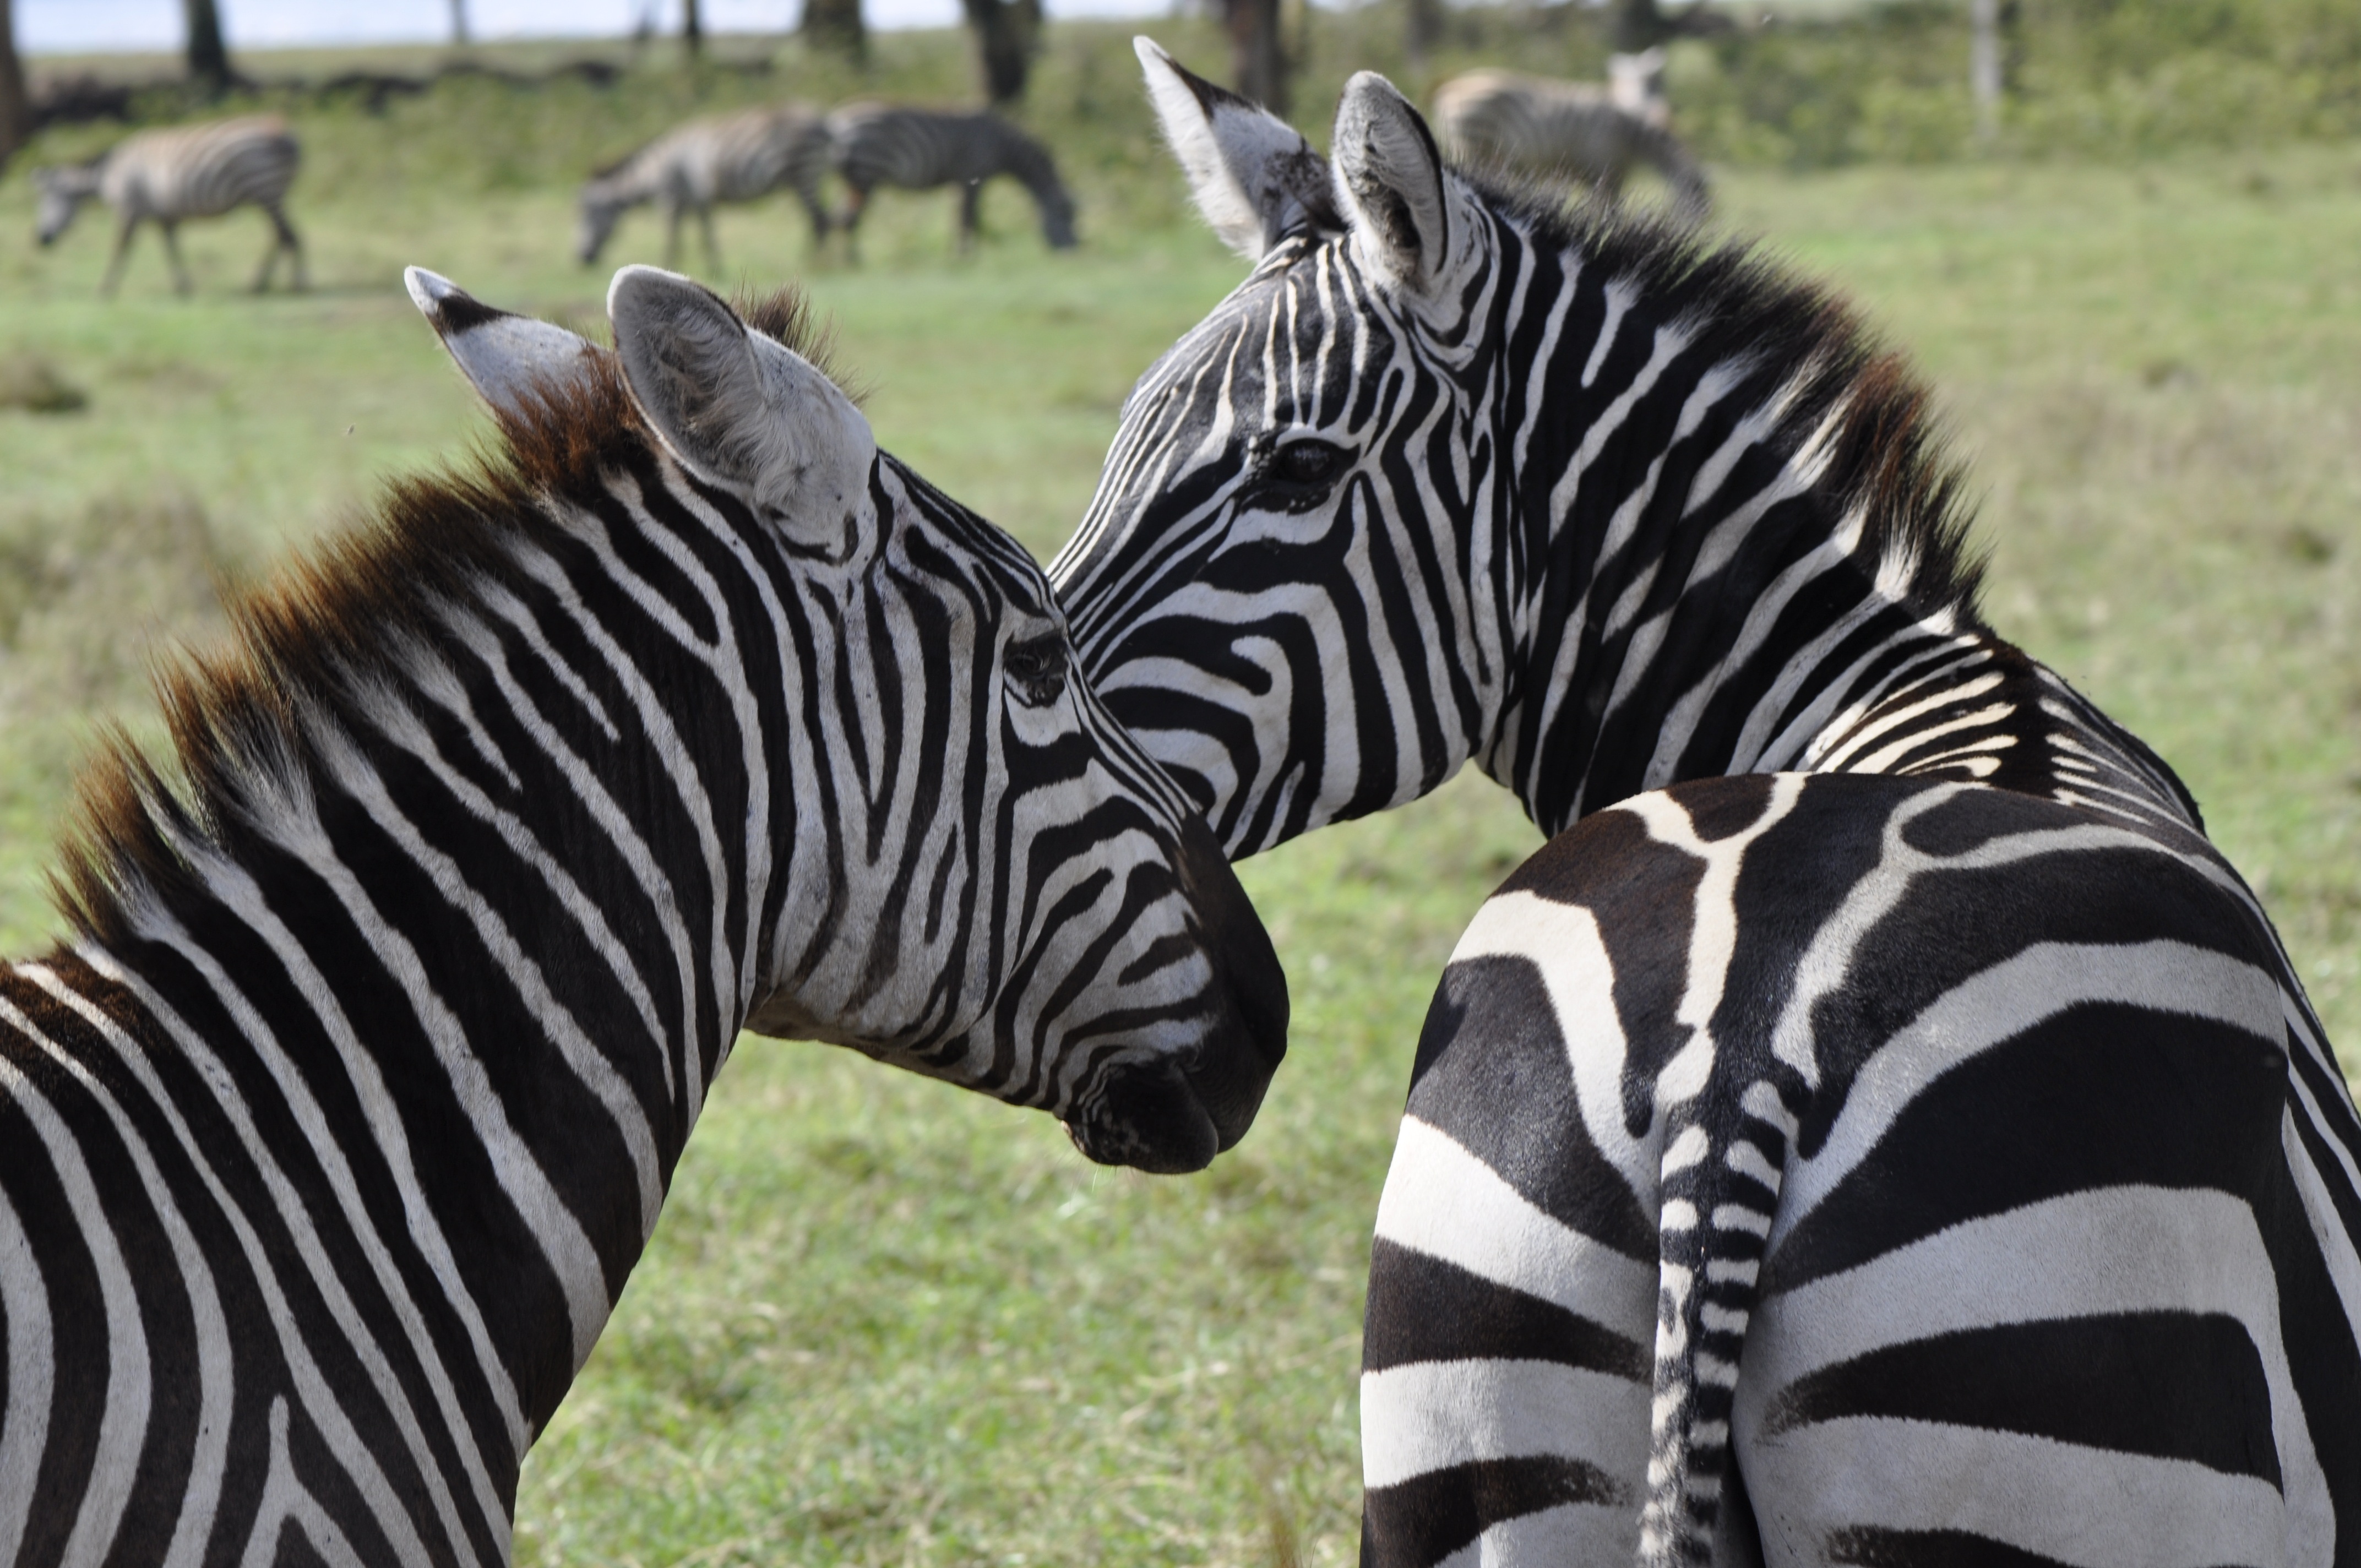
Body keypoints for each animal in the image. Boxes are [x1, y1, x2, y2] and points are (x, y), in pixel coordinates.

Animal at [34, 113, 304, 297]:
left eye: (49, 199)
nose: (40, 240)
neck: (109, 174)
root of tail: (285, 132)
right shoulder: (163, 215)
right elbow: (171, 249)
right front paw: (183, 287)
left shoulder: (129, 209)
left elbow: (120, 249)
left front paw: (104, 289)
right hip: (268, 194)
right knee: (282, 236)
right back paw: (262, 285)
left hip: (265, 189)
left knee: (287, 236)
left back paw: (295, 285)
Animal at [576, 102, 835, 271]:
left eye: (588, 213)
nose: (582, 259)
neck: (657, 169)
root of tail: (823, 121)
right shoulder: (693, 200)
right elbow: (700, 235)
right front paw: (707, 268)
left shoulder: (673, 197)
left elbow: (675, 236)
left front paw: (665, 266)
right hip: (804, 176)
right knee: (819, 220)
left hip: (804, 172)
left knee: (819, 221)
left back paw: (814, 265)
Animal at [822, 103, 1081, 254]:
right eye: (1065, 215)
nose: (1073, 251)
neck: (1002, 145)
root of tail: (836, 124)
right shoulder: (972, 177)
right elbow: (968, 217)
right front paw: (967, 255)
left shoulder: (959, 183)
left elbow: (964, 218)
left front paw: (971, 251)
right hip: (866, 175)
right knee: (848, 219)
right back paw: (853, 262)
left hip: (854, 179)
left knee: (839, 218)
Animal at [1416, 64, 1718, 222]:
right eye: (1699, 196)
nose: (1701, 232)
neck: (1629, 132)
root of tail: (1449, 88)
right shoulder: (1604, 169)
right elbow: (1607, 213)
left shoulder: (1600, 173)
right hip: (1472, 143)